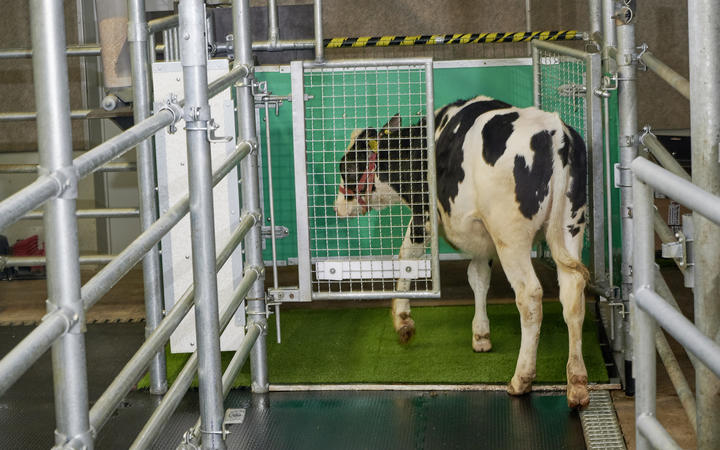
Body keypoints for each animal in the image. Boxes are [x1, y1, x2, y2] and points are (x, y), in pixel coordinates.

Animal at [334, 95, 588, 408]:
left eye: (346, 166)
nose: (336, 206)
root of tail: (555, 132)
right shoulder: (480, 236)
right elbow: (478, 277)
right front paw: (481, 335)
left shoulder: (424, 216)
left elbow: (407, 256)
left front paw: (402, 320)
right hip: (570, 226)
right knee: (573, 294)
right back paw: (577, 383)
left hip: (510, 236)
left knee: (529, 297)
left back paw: (522, 378)